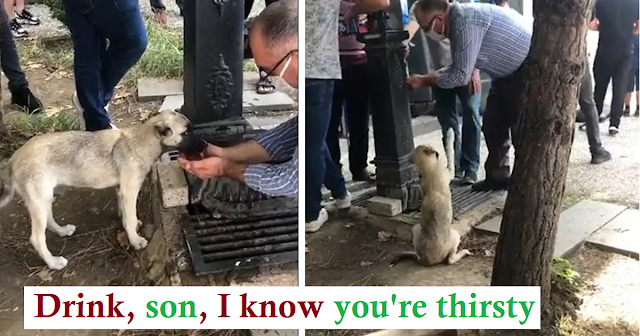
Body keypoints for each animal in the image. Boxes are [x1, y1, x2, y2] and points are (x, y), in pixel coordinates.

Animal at [0, 111, 202, 270]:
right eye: (186, 132)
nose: (205, 145)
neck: (140, 142)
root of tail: (13, 158)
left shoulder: (121, 190)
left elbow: (126, 215)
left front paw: (131, 225)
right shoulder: (129, 191)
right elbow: (129, 218)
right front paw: (135, 240)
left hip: (45, 198)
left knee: (49, 219)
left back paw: (62, 231)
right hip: (39, 200)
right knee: (37, 238)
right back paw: (54, 263)